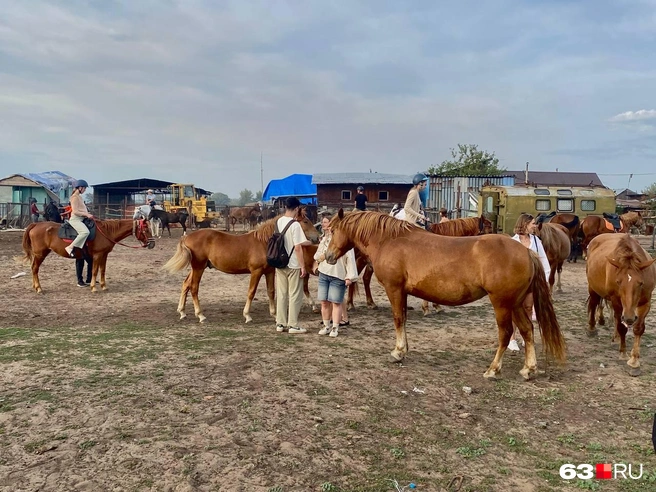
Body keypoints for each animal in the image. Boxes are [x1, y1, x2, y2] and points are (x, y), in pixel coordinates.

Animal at [22, 219, 155, 293]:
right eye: (146, 229)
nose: (152, 243)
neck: (106, 232)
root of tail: (35, 225)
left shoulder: (104, 255)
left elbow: (103, 270)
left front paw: (103, 286)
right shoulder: (97, 255)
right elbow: (94, 271)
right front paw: (93, 287)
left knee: (33, 269)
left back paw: (35, 286)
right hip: (40, 254)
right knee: (35, 268)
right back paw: (39, 288)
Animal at [162, 209, 320, 323]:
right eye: (305, 221)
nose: (317, 237)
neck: (265, 242)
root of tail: (186, 237)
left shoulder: (269, 272)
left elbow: (271, 292)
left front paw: (274, 315)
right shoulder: (256, 272)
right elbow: (251, 292)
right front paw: (247, 316)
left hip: (198, 268)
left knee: (186, 284)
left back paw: (182, 312)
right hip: (198, 268)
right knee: (194, 288)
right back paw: (200, 315)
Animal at [325, 210, 566, 380]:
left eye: (333, 231)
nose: (327, 256)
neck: (390, 240)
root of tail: (526, 251)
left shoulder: (394, 289)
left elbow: (398, 319)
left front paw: (398, 352)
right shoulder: (403, 292)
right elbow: (404, 319)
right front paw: (405, 349)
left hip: (502, 304)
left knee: (506, 334)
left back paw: (493, 370)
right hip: (516, 303)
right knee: (527, 330)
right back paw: (528, 369)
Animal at [585, 234, 655, 376]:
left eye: (640, 283)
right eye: (618, 282)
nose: (629, 318)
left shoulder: (646, 302)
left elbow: (638, 328)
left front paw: (634, 362)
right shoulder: (616, 300)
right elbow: (622, 327)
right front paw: (623, 354)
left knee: (616, 318)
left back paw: (616, 337)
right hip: (593, 289)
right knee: (594, 304)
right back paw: (592, 329)